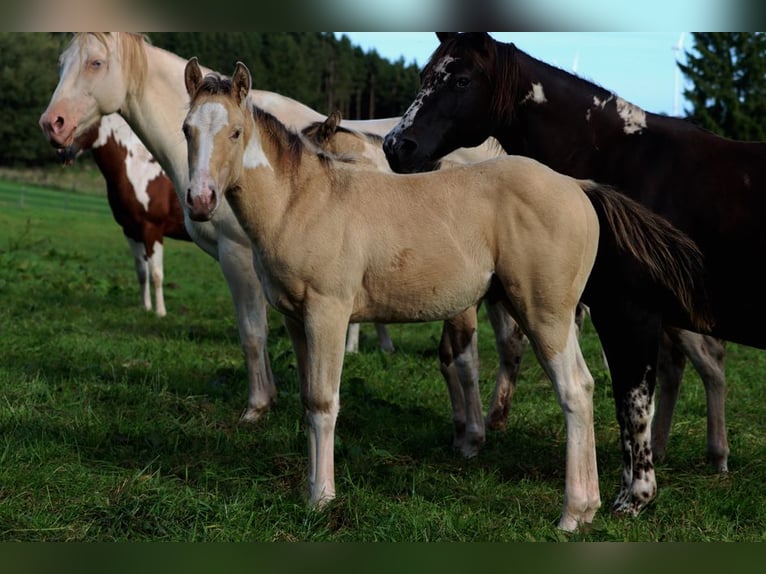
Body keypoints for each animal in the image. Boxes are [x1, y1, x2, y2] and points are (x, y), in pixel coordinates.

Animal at [60, 114, 192, 318]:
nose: (64, 151)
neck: (137, 171)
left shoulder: (153, 230)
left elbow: (156, 273)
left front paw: (161, 312)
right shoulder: (131, 231)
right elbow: (142, 272)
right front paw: (145, 307)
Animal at [182, 58, 712, 532]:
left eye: (234, 132)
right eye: (188, 130)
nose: (201, 201)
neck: (304, 201)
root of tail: (577, 186)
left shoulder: (327, 314)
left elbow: (324, 403)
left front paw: (321, 499)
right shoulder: (296, 320)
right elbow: (308, 401)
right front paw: (313, 490)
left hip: (546, 315)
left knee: (577, 391)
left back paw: (572, 515)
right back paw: (589, 509)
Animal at [380, 30, 752, 516]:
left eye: (460, 80)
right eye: (425, 74)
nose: (395, 145)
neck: (625, 157)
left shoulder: (628, 313)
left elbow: (631, 402)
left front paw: (633, 499)